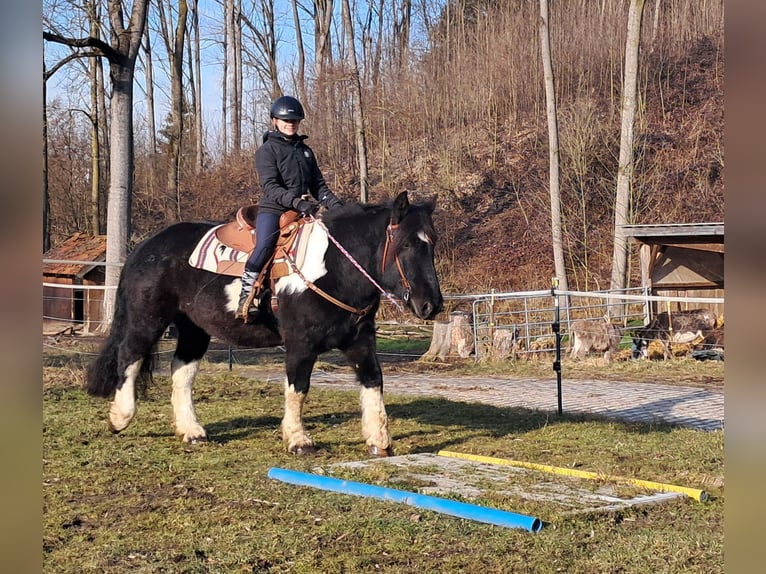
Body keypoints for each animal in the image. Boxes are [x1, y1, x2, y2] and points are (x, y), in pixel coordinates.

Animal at [85, 194, 444, 460]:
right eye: (406, 244)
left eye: (432, 243)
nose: (432, 305)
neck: (334, 269)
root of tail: (145, 248)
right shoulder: (300, 344)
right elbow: (298, 389)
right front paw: (298, 440)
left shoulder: (360, 341)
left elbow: (373, 383)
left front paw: (379, 440)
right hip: (147, 319)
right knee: (129, 357)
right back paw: (120, 418)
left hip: (194, 329)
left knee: (182, 373)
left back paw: (192, 432)